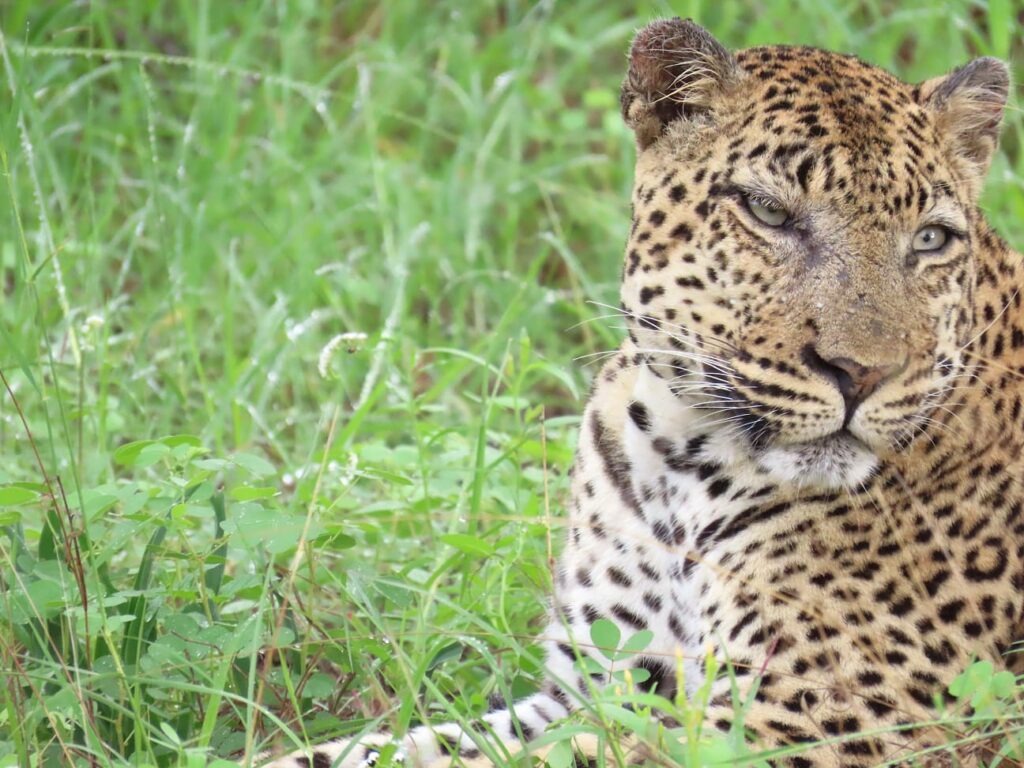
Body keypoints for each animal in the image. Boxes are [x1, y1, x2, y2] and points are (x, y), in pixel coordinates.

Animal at [255, 18, 1022, 768]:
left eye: (931, 240)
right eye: (769, 212)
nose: (861, 373)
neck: (683, 459)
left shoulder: (813, 722)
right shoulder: (596, 684)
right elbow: (408, 748)